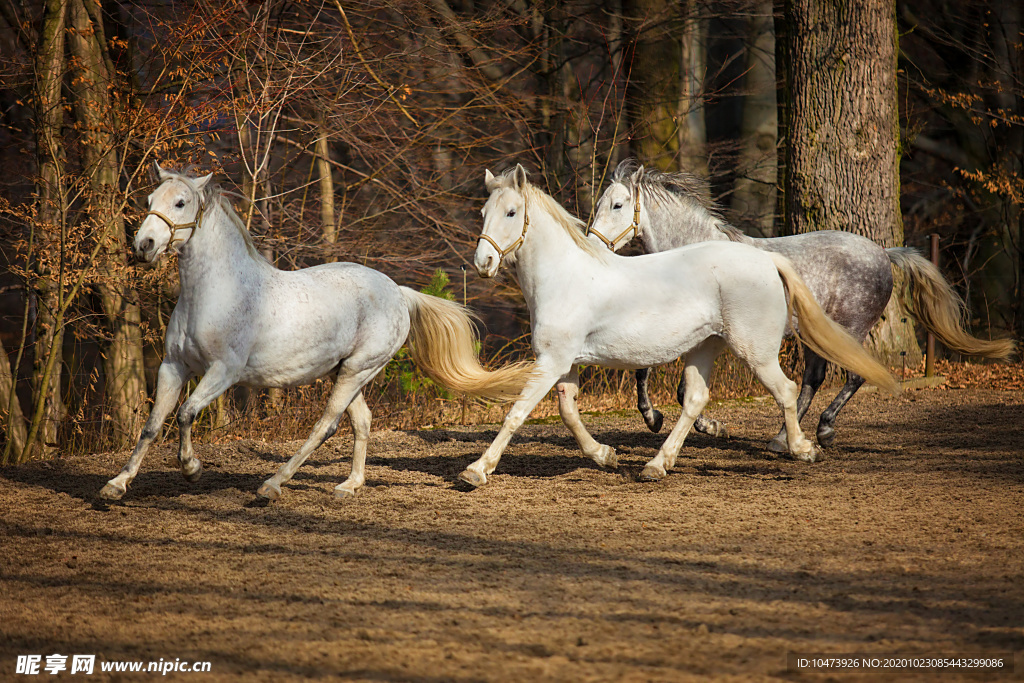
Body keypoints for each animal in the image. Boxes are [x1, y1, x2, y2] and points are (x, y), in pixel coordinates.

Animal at [100, 167, 536, 501]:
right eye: (149, 199)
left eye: (180, 203)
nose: (144, 245)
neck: (213, 293)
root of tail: (397, 291)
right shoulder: (173, 367)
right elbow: (152, 425)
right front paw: (116, 486)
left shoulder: (224, 372)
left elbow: (186, 413)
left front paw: (191, 468)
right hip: (347, 372)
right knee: (362, 422)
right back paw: (349, 486)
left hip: (357, 370)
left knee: (326, 425)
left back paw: (273, 485)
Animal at [462, 164, 897, 485]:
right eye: (483, 213)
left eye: (512, 213)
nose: (484, 263)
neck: (565, 276)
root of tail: (768, 261)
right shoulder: (566, 363)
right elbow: (569, 413)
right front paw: (604, 456)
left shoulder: (551, 362)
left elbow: (517, 413)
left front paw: (476, 471)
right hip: (705, 347)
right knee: (696, 400)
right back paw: (657, 465)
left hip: (757, 350)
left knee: (790, 389)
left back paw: (800, 447)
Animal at [589, 158, 1011, 448]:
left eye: (618, 205)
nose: (593, 244)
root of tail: (883, 253)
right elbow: (647, 373)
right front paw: (658, 419)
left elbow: (673, 386)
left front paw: (698, 425)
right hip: (815, 335)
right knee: (812, 380)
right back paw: (782, 439)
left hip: (849, 329)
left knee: (852, 376)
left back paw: (822, 430)